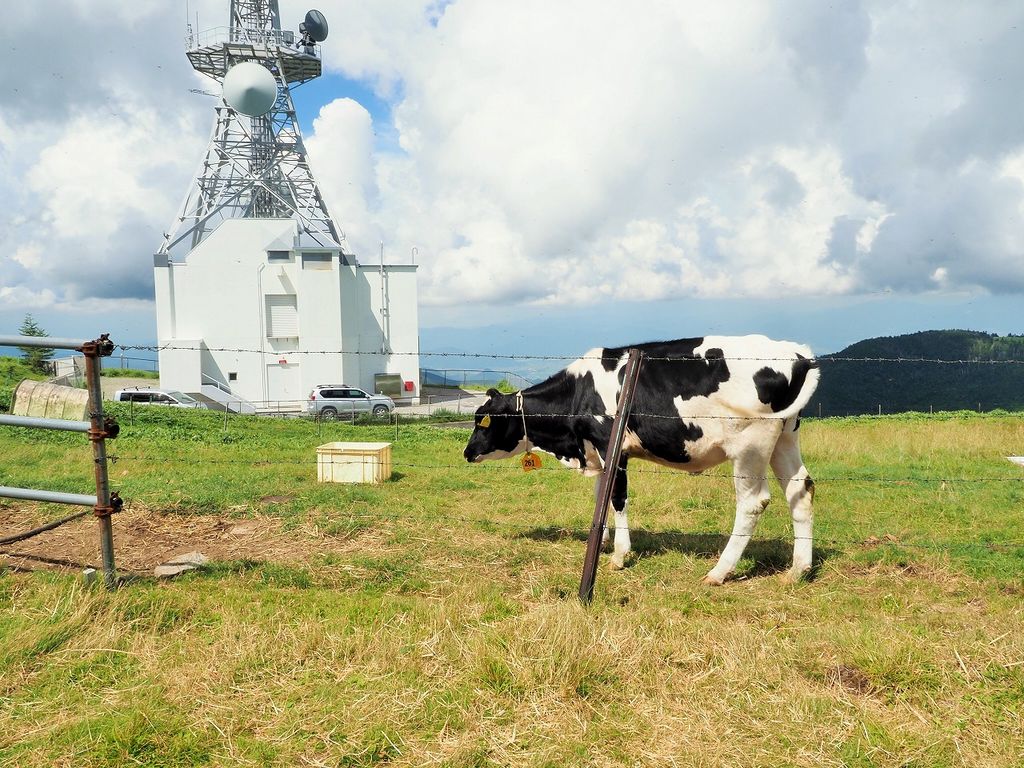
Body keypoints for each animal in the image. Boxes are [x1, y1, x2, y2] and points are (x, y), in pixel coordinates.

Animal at [468, 335, 819, 581]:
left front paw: (619, 556)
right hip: (785, 438)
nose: (467, 452)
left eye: (483, 421)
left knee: (752, 503)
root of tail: (798, 354)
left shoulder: (613, 448)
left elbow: (617, 498)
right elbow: (601, 495)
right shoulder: (598, 452)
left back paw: (719, 572)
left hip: (750, 446)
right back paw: (797, 570)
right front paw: (601, 540)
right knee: (800, 490)